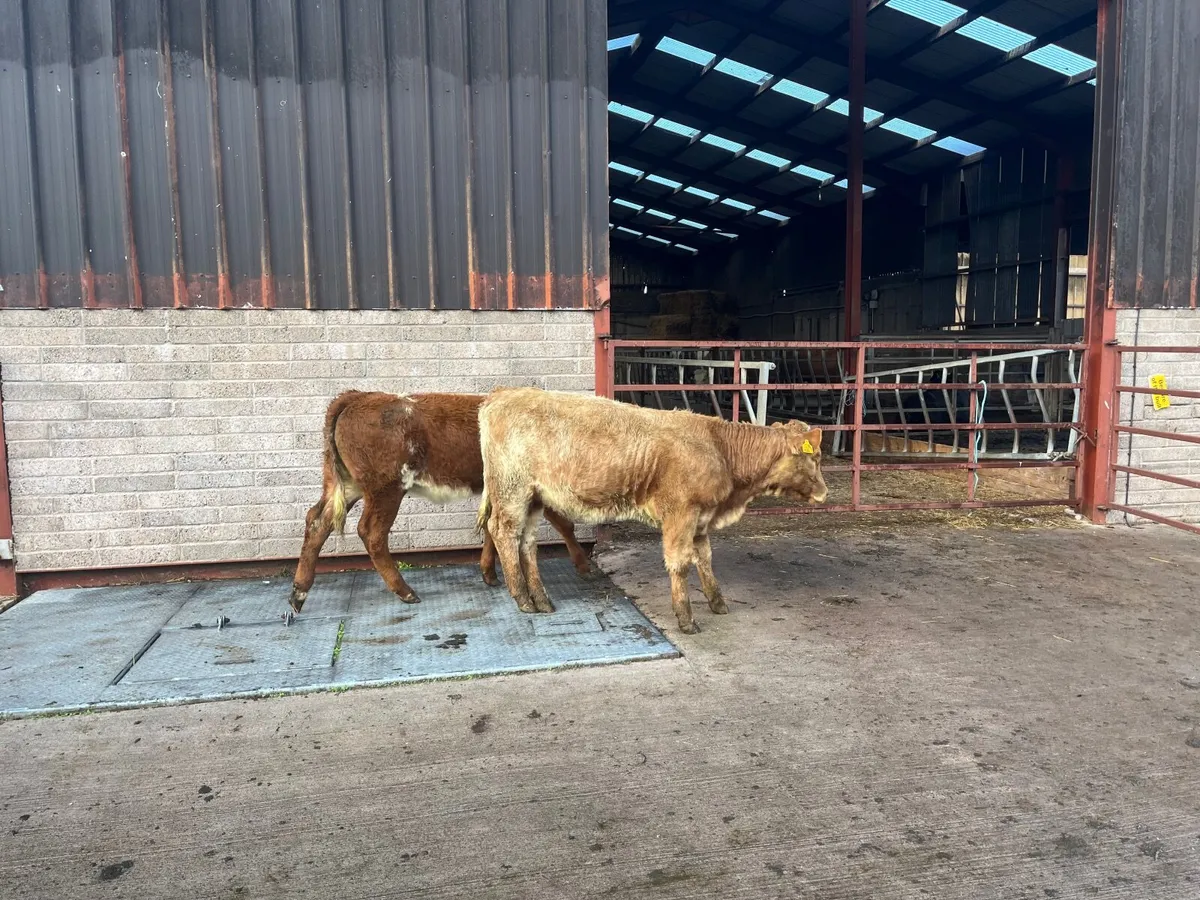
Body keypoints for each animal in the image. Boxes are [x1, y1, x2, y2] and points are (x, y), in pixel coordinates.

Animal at [289, 390, 590, 615]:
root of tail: (359, 396)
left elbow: (490, 528)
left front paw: (489, 572)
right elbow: (563, 524)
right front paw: (583, 565)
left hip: (348, 484)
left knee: (317, 521)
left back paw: (299, 591)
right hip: (386, 488)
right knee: (371, 532)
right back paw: (405, 591)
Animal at [476, 387, 827, 634]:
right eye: (816, 457)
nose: (825, 493)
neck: (718, 447)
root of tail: (503, 393)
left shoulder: (701, 519)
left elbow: (705, 559)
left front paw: (717, 602)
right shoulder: (680, 514)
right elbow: (680, 564)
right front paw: (686, 618)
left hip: (534, 498)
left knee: (527, 543)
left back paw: (541, 598)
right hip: (512, 491)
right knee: (504, 532)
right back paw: (523, 598)